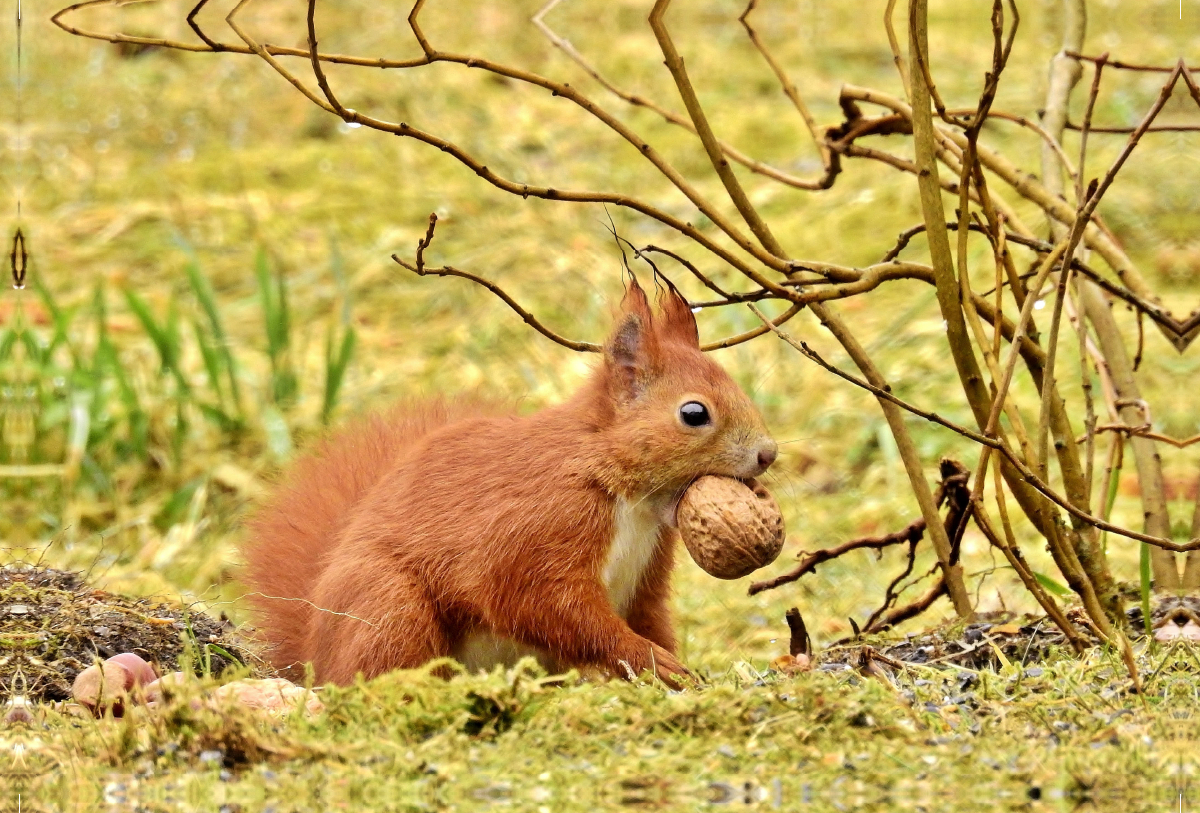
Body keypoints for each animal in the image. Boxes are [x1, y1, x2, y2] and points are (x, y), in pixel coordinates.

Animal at [243, 280, 777, 685]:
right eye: (694, 414)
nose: (768, 454)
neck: (630, 498)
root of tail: (315, 656)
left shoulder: (647, 574)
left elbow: (650, 617)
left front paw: (679, 671)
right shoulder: (541, 525)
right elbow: (541, 602)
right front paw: (647, 658)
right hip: (388, 605)